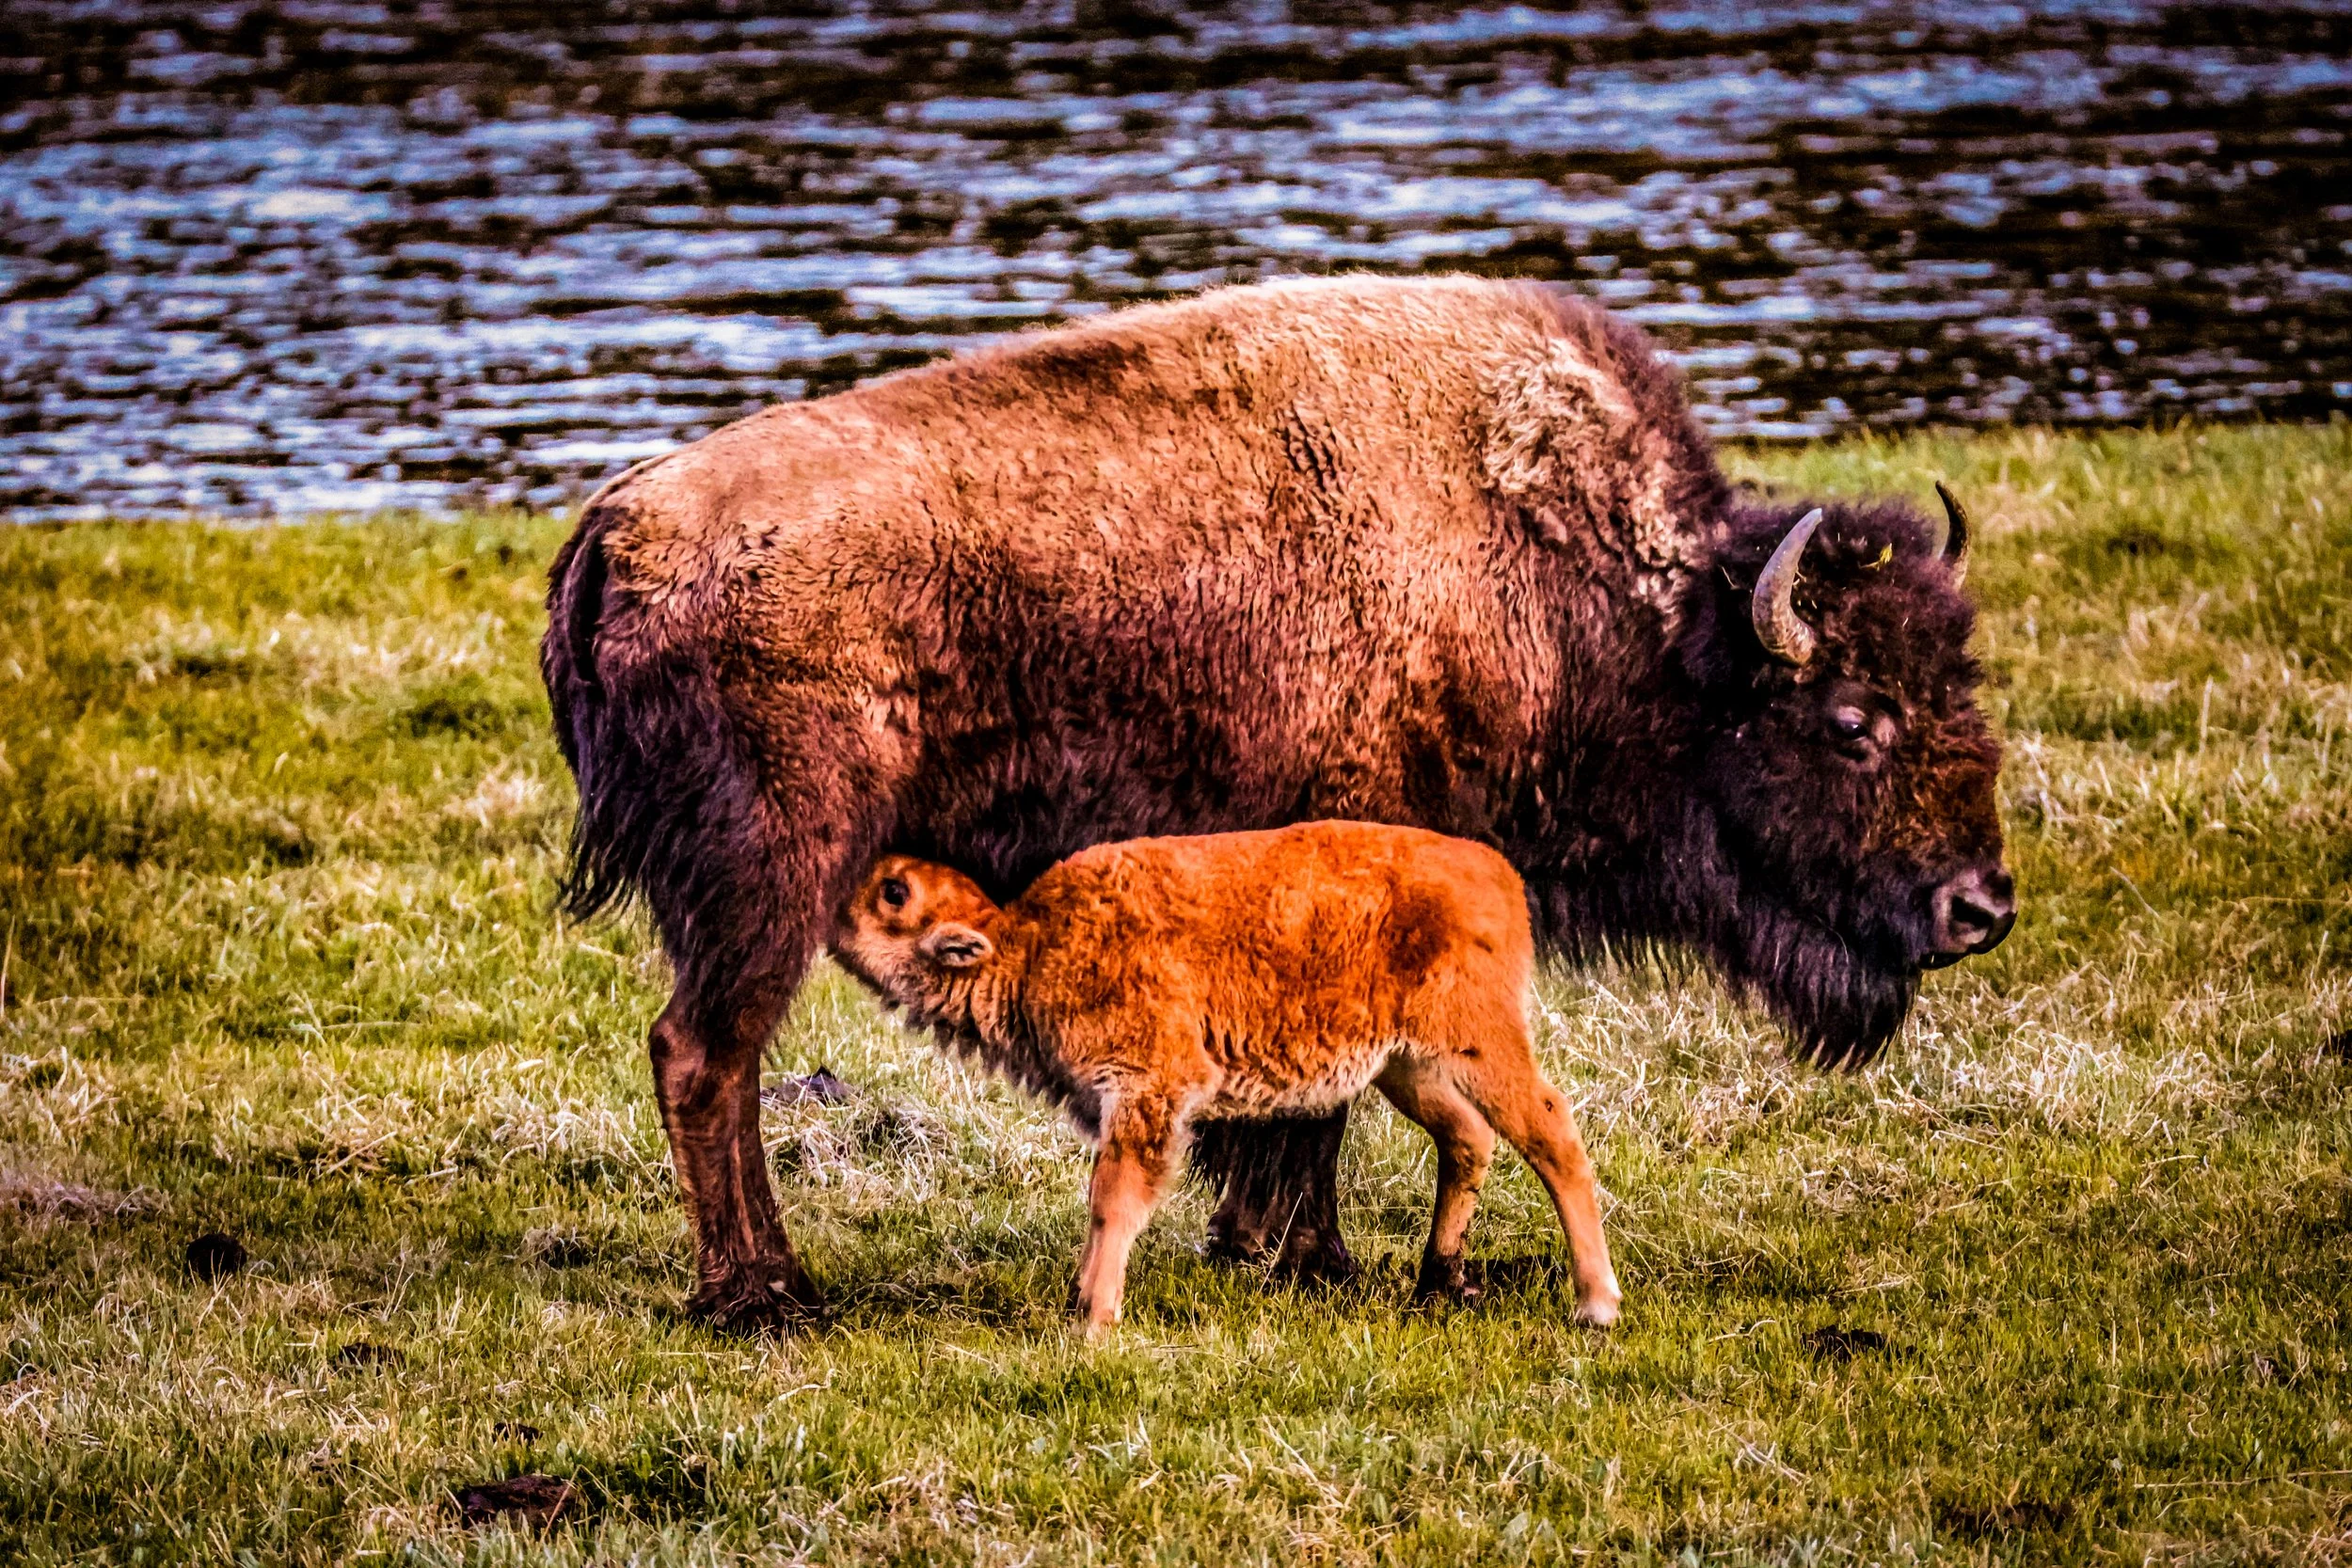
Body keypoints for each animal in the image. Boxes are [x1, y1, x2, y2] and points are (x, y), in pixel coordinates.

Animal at [831, 822, 1622, 1332]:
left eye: (894, 891)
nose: (836, 892)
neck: (1026, 946)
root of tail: (1498, 873)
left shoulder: (1147, 1092)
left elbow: (1115, 1198)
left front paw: (1093, 1317)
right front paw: (1084, 1302)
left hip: (1478, 1044)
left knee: (1551, 1130)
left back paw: (1597, 1304)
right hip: (1407, 1065)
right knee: (1468, 1140)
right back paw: (1436, 1280)